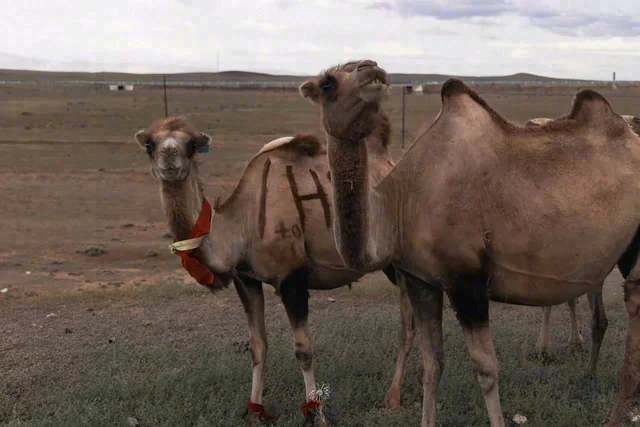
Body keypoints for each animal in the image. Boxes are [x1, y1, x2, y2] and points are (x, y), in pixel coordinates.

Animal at [133, 115, 421, 426]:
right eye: (149, 144)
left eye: (192, 144)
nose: (169, 154)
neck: (241, 226)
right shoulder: (246, 280)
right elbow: (257, 347)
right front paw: (253, 412)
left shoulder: (292, 279)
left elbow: (303, 351)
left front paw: (316, 414)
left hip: (399, 259)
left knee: (407, 324)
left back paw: (393, 397)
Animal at [299, 59, 640, 427]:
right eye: (327, 83)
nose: (371, 68)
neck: (400, 203)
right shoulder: (420, 279)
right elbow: (432, 365)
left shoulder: (467, 280)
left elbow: (486, 370)